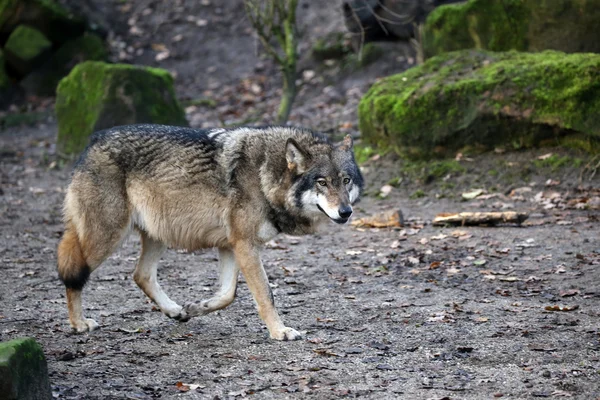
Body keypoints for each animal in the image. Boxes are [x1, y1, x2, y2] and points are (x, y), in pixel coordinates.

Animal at [57, 125, 366, 340]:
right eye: (322, 182)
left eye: (346, 181)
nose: (345, 212)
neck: (266, 175)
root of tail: (92, 142)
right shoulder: (245, 245)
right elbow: (266, 295)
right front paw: (280, 331)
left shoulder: (231, 246)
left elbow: (227, 295)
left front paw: (196, 308)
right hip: (106, 238)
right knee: (74, 274)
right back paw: (78, 324)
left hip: (157, 235)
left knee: (140, 275)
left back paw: (174, 310)